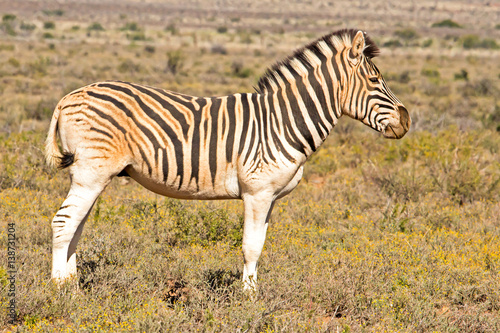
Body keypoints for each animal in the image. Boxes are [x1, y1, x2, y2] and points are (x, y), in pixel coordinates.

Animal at [44, 27, 410, 288]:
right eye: (375, 80)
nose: (406, 121)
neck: (282, 120)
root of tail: (69, 96)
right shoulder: (257, 192)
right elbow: (250, 246)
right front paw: (247, 299)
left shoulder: (270, 196)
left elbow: (260, 243)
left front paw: (255, 292)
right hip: (91, 172)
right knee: (63, 222)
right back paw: (60, 290)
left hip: (94, 175)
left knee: (76, 225)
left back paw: (73, 284)